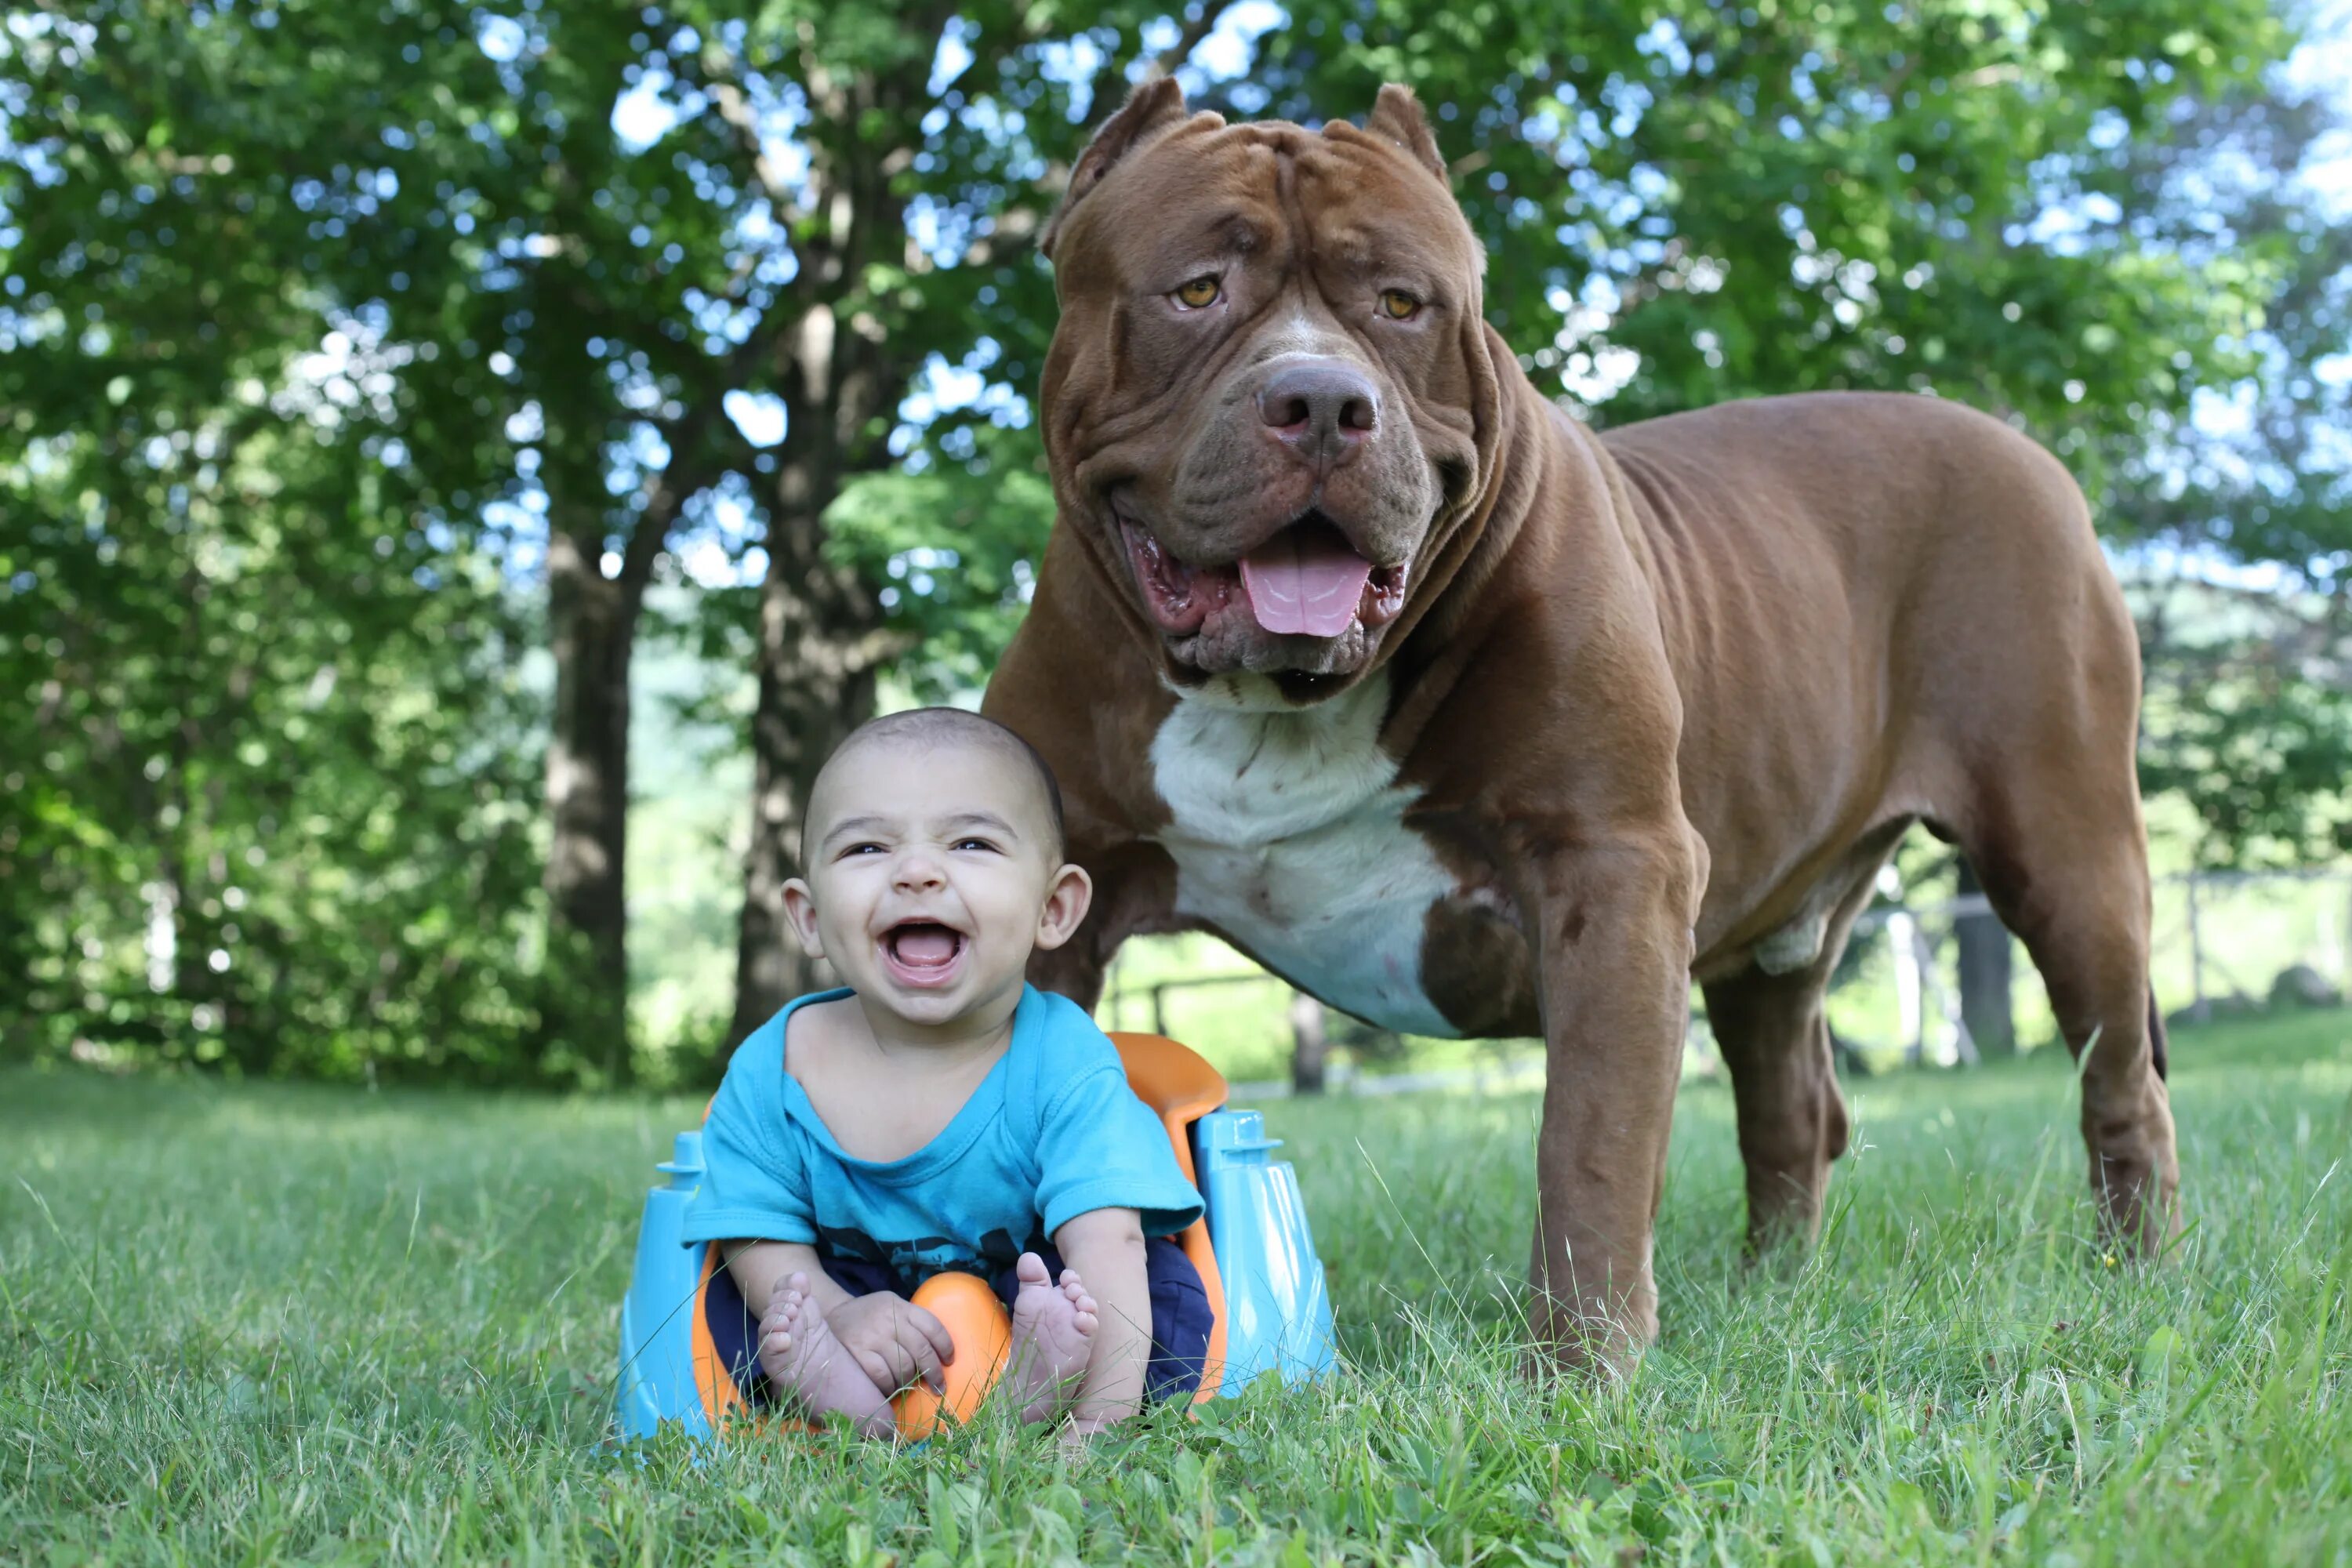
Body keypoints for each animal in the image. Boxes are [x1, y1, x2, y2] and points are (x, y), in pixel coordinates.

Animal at [978, 79, 2183, 1363]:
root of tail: (2019, 445)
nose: (1322, 401)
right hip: (1777, 937)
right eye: (1197, 289)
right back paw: (1772, 1294)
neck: (1278, 699)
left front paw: (1583, 1368)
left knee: (2121, 1078)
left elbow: (1593, 1139)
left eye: (1401, 304)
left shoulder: (1613, 865)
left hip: (2069, 850)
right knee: (1794, 1102)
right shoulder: (1063, 907)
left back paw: (2136, 1274)